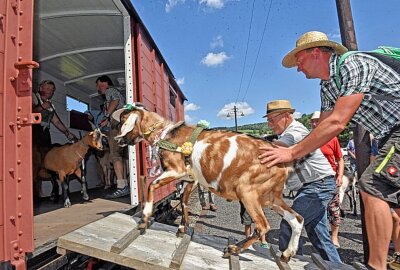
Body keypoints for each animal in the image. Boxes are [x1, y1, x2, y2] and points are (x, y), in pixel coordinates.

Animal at [112, 104, 304, 262]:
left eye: (122, 120)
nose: (117, 140)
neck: (166, 134)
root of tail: (284, 160)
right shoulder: (190, 179)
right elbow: (184, 202)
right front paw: (182, 228)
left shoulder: (176, 170)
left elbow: (152, 185)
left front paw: (144, 217)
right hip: (271, 196)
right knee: (297, 219)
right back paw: (287, 254)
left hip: (247, 192)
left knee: (263, 226)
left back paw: (233, 249)